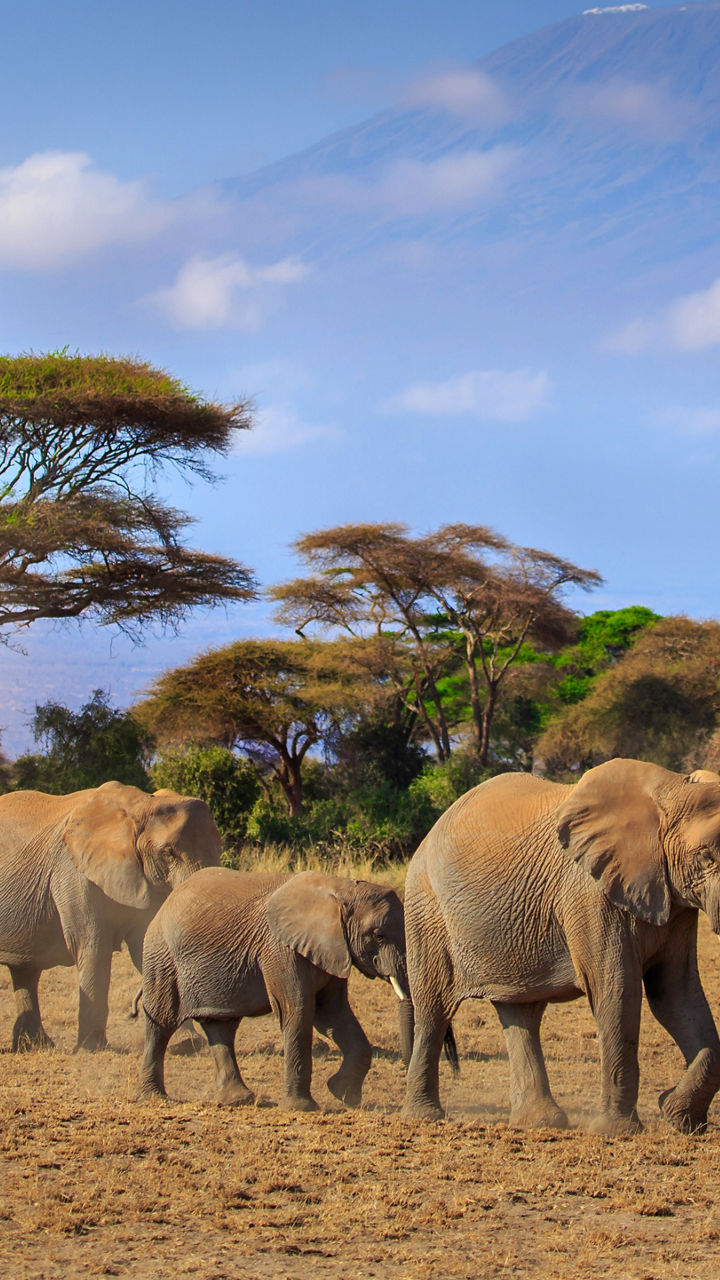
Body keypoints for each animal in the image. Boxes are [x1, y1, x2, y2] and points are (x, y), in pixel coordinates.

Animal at [0, 781, 222, 1051]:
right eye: (168, 853)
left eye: (220, 847)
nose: (133, 1012)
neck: (141, 806)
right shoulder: (74, 872)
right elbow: (93, 946)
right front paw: (90, 1050)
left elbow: (144, 947)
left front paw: (188, 1045)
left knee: (25, 971)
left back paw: (36, 1046)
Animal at [137, 867, 411, 1111]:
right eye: (378, 935)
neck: (339, 889)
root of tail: (165, 903)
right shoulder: (280, 950)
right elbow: (297, 1012)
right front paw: (302, 1108)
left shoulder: (332, 950)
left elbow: (333, 1014)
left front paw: (343, 1095)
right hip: (162, 958)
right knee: (161, 1022)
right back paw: (156, 1098)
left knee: (221, 1026)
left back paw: (239, 1100)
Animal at [402, 758, 720, 1135]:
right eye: (706, 857)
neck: (671, 789)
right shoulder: (591, 895)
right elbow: (617, 991)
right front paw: (615, 1132)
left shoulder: (675, 902)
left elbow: (676, 994)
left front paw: (678, 1115)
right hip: (426, 910)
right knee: (434, 1009)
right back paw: (424, 1117)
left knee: (520, 1013)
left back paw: (540, 1122)